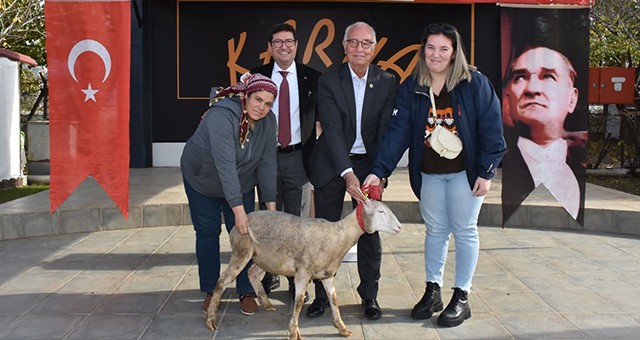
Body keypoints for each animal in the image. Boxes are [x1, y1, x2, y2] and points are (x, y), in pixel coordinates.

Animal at [205, 198, 400, 338]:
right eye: (380, 211)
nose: (399, 227)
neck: (338, 235)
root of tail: (237, 224)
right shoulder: (303, 272)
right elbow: (298, 302)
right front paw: (293, 332)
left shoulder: (327, 274)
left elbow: (334, 299)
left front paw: (342, 328)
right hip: (242, 251)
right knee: (222, 281)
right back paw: (211, 319)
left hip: (264, 257)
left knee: (252, 273)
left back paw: (267, 304)